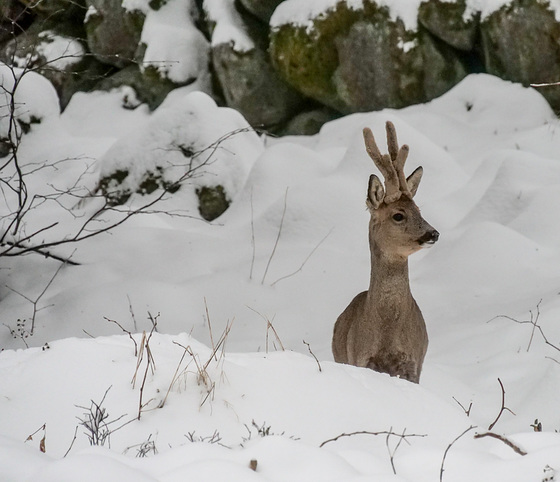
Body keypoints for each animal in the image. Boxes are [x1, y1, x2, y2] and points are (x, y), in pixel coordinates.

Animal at [330, 121, 440, 384]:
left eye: (419, 210)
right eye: (398, 215)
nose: (433, 233)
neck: (388, 331)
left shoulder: (414, 363)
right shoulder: (361, 357)